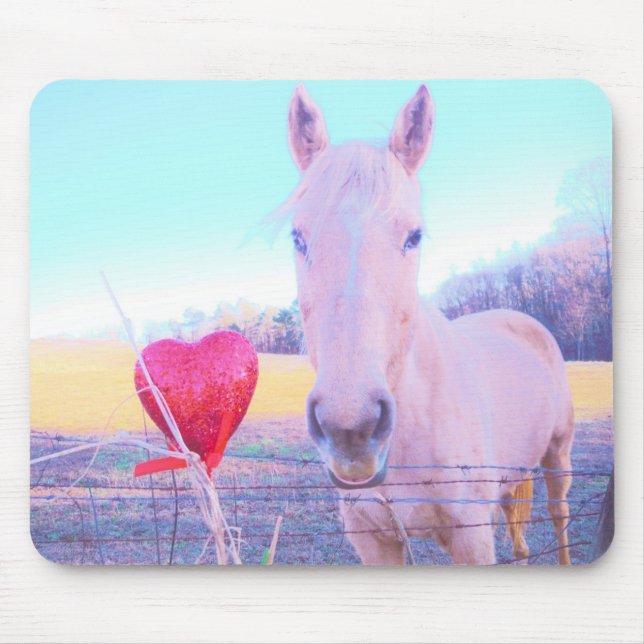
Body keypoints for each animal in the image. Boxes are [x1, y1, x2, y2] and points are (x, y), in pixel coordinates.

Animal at [276, 84, 575, 565]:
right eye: (298, 237)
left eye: (414, 236)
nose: (350, 429)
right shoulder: (374, 540)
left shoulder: (472, 538)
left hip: (558, 455)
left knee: (559, 514)